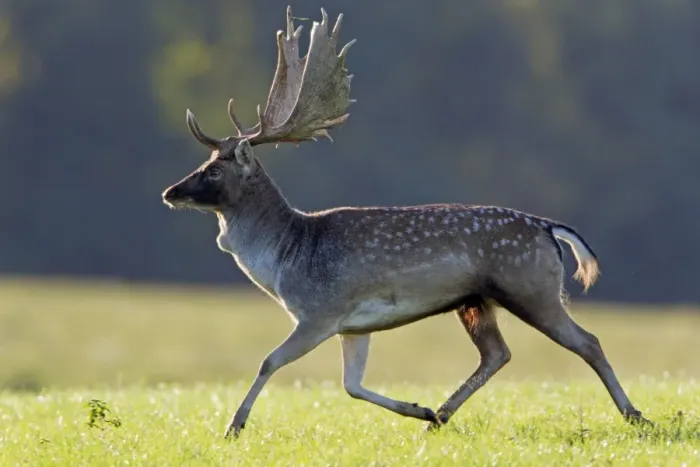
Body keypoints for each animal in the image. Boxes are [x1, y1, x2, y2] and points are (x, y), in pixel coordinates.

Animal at [161, 6, 650, 439]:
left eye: (215, 170)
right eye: (206, 162)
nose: (171, 192)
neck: (286, 258)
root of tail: (549, 228)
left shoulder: (320, 311)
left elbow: (269, 361)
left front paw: (234, 426)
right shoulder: (353, 326)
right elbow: (351, 386)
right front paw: (418, 408)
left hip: (530, 286)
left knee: (587, 341)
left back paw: (635, 415)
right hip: (476, 301)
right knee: (497, 354)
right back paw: (439, 416)